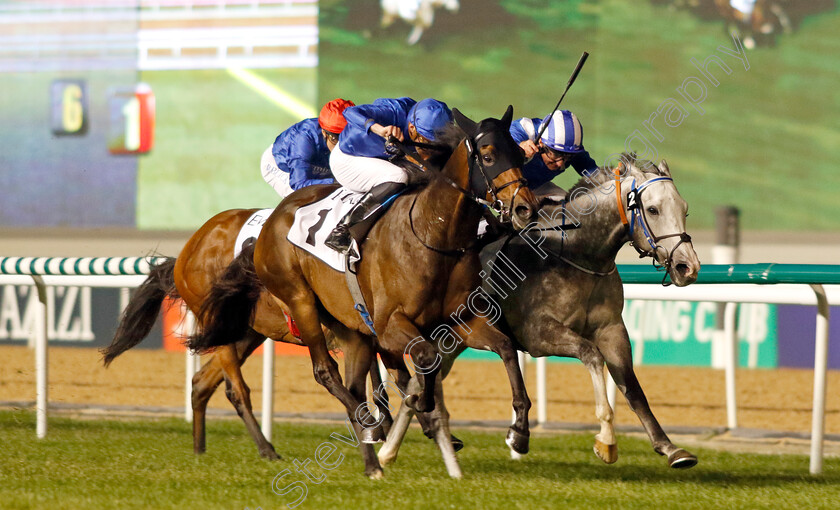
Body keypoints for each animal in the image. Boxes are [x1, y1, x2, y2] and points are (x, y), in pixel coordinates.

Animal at [189, 107, 540, 478]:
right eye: (488, 156)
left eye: (520, 155)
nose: (525, 208)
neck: (435, 233)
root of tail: (271, 222)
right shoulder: (388, 326)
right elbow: (425, 359)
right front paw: (421, 408)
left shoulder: (461, 318)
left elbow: (505, 348)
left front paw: (518, 432)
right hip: (300, 302)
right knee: (325, 373)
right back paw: (369, 427)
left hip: (342, 327)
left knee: (350, 383)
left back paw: (372, 456)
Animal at [378, 152, 700, 474]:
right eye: (653, 209)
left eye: (685, 209)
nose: (688, 267)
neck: (576, 255)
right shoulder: (539, 334)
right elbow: (591, 355)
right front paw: (606, 441)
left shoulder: (612, 330)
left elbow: (633, 388)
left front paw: (670, 448)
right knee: (417, 384)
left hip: (452, 343)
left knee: (417, 386)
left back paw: (388, 452)